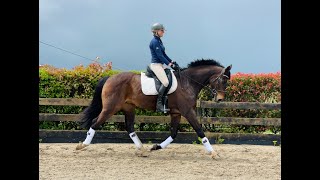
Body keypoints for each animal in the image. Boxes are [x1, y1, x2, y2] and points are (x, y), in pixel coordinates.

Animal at [76, 59, 231, 159]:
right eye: (223, 80)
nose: (220, 99)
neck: (187, 82)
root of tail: (109, 78)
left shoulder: (176, 113)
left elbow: (173, 134)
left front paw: (156, 147)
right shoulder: (187, 111)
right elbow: (199, 130)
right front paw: (213, 153)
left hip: (128, 107)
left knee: (129, 127)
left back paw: (142, 149)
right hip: (110, 108)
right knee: (95, 122)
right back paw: (82, 145)